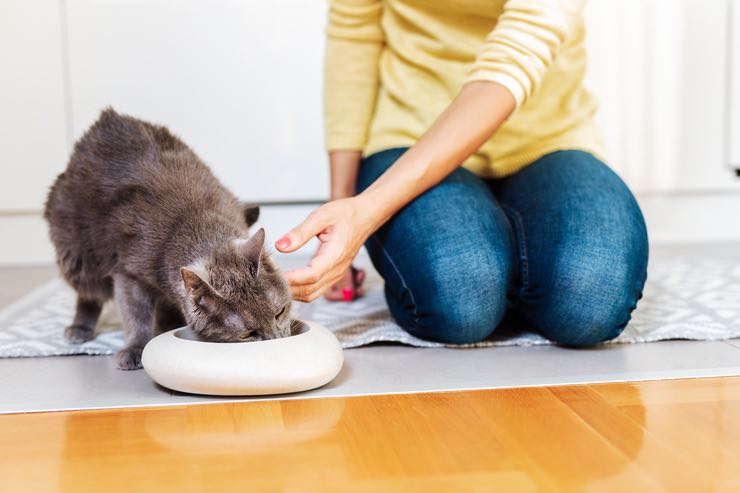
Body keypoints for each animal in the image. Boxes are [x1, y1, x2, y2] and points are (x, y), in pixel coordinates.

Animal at [44, 108, 294, 368]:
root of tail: (104, 121)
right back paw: (79, 328)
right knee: (88, 293)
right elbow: (135, 313)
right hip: (78, 253)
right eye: (248, 334)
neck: (201, 227)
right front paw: (135, 348)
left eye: (280, 312)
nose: (276, 340)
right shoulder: (128, 272)